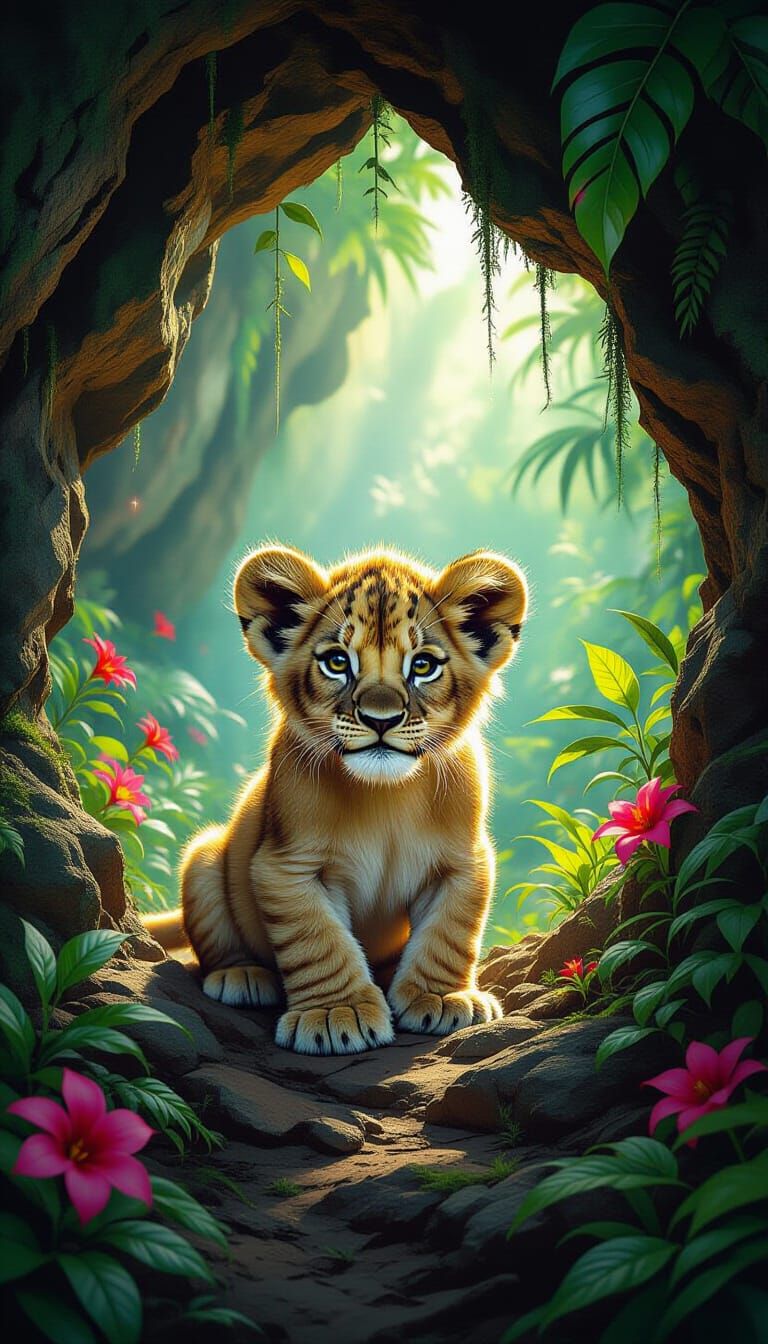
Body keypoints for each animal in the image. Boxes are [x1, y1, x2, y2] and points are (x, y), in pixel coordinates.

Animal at [143, 544, 528, 1055]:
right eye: (338, 662)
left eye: (423, 666)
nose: (381, 719)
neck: (386, 796)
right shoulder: (287, 867)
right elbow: (318, 941)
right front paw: (334, 1015)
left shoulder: (463, 864)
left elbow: (449, 934)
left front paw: (442, 998)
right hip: (203, 861)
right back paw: (242, 976)